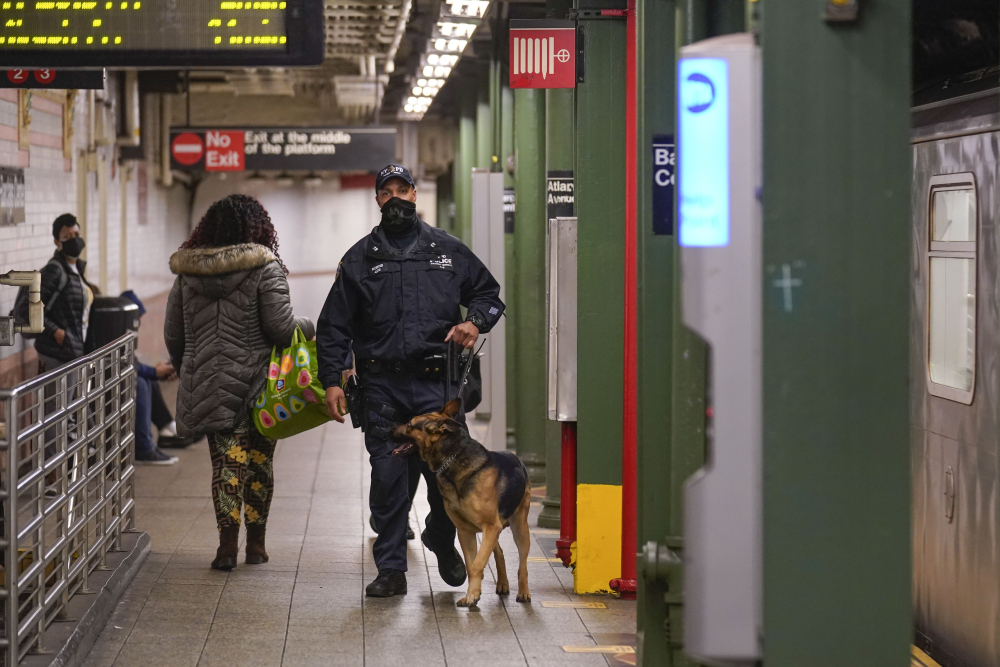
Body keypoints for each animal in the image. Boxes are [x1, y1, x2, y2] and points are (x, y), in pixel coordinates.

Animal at [390, 400, 532, 608]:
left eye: (409, 425)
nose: (386, 429)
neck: (454, 458)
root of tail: (515, 457)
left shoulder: (490, 527)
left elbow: (478, 563)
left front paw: (473, 595)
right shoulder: (466, 531)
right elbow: (473, 565)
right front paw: (473, 594)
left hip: (519, 528)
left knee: (523, 564)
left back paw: (523, 592)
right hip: (494, 530)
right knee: (499, 552)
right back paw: (503, 583)